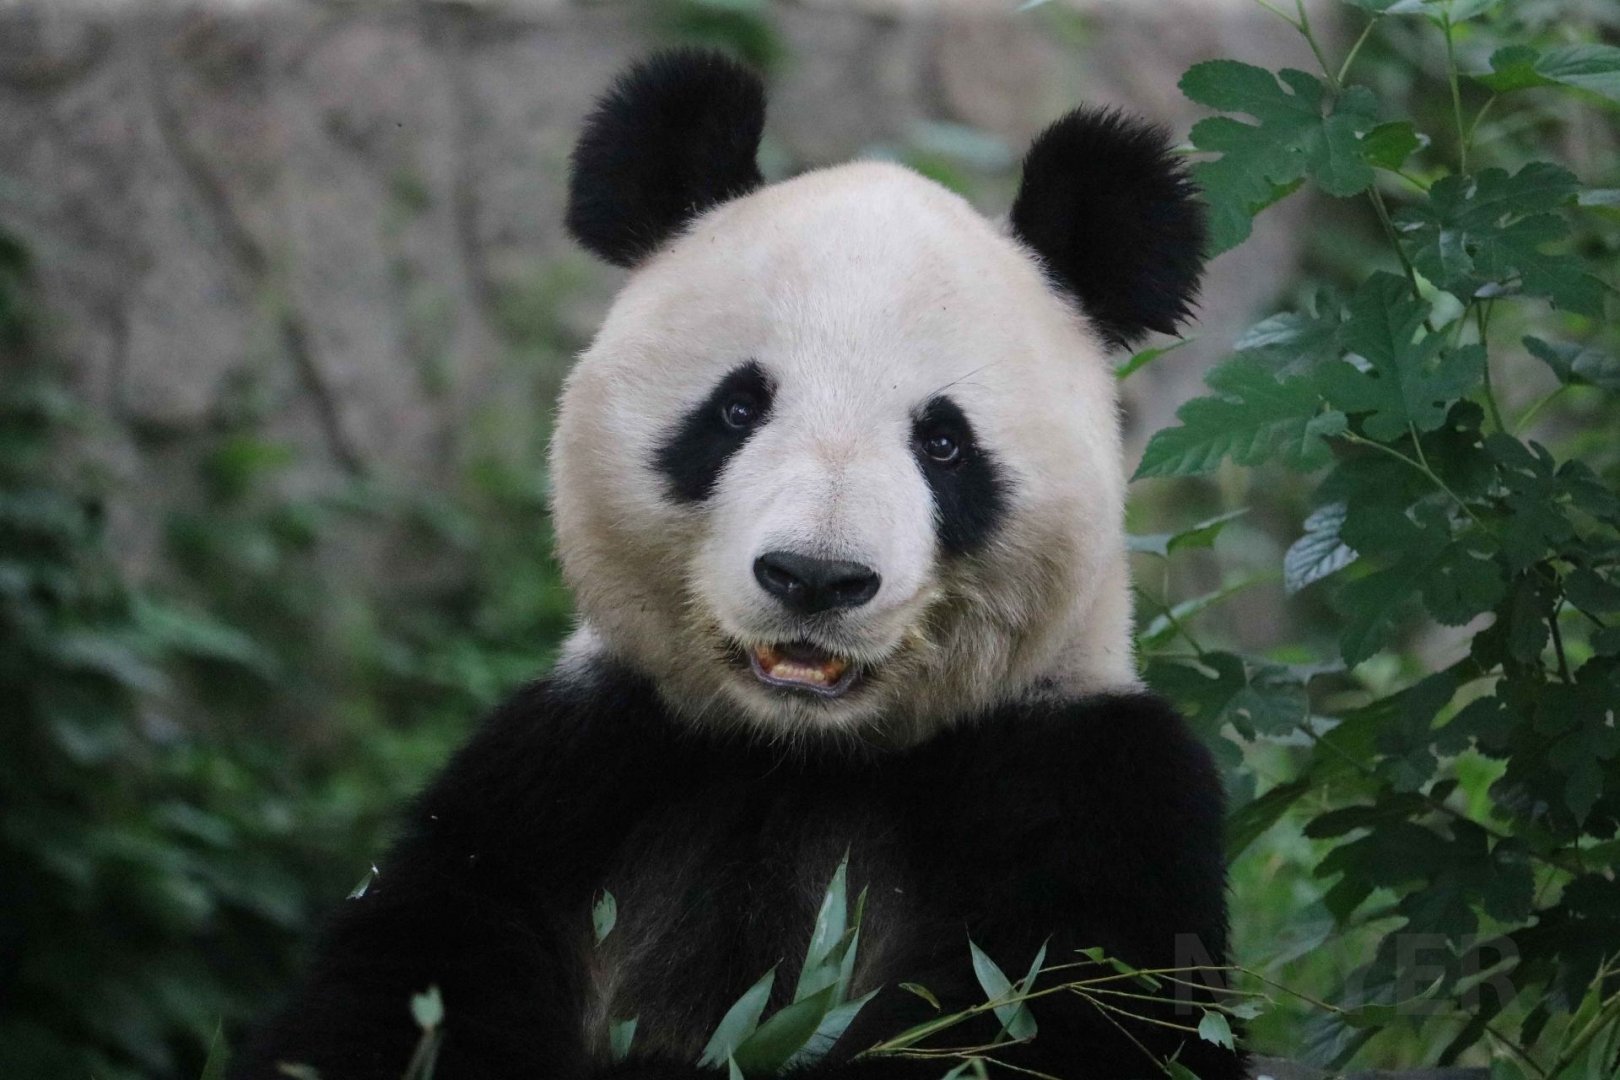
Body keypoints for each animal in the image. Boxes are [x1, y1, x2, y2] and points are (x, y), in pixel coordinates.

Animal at [232, 49, 1242, 1080]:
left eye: (944, 443)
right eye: (737, 408)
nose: (815, 577)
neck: (798, 755)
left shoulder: (1085, 788)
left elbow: (1063, 1016)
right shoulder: (569, 775)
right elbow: (406, 984)